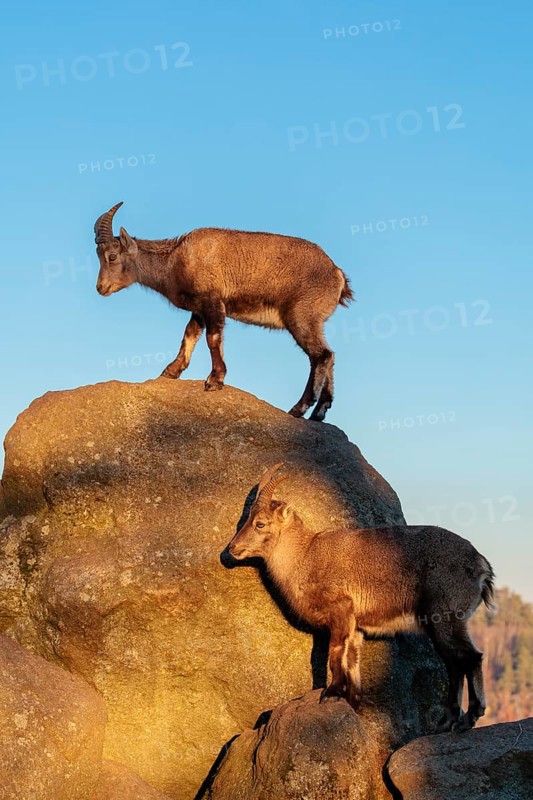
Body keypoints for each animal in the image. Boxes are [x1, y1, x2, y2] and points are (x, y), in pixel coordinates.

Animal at [94, 202, 353, 421]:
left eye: (112, 256)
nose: (100, 287)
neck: (177, 259)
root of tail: (337, 274)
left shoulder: (213, 302)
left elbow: (212, 338)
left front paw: (215, 380)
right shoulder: (199, 309)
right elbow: (189, 335)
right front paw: (171, 371)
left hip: (301, 317)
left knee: (320, 356)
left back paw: (299, 409)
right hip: (314, 322)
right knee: (329, 355)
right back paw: (319, 412)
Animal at [222, 463, 495, 732]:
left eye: (260, 523)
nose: (232, 549)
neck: (306, 556)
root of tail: (481, 565)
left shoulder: (341, 611)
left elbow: (334, 654)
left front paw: (330, 692)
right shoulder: (356, 628)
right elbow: (352, 664)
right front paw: (351, 703)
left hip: (445, 616)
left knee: (470, 658)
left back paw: (470, 717)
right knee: (454, 665)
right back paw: (447, 721)